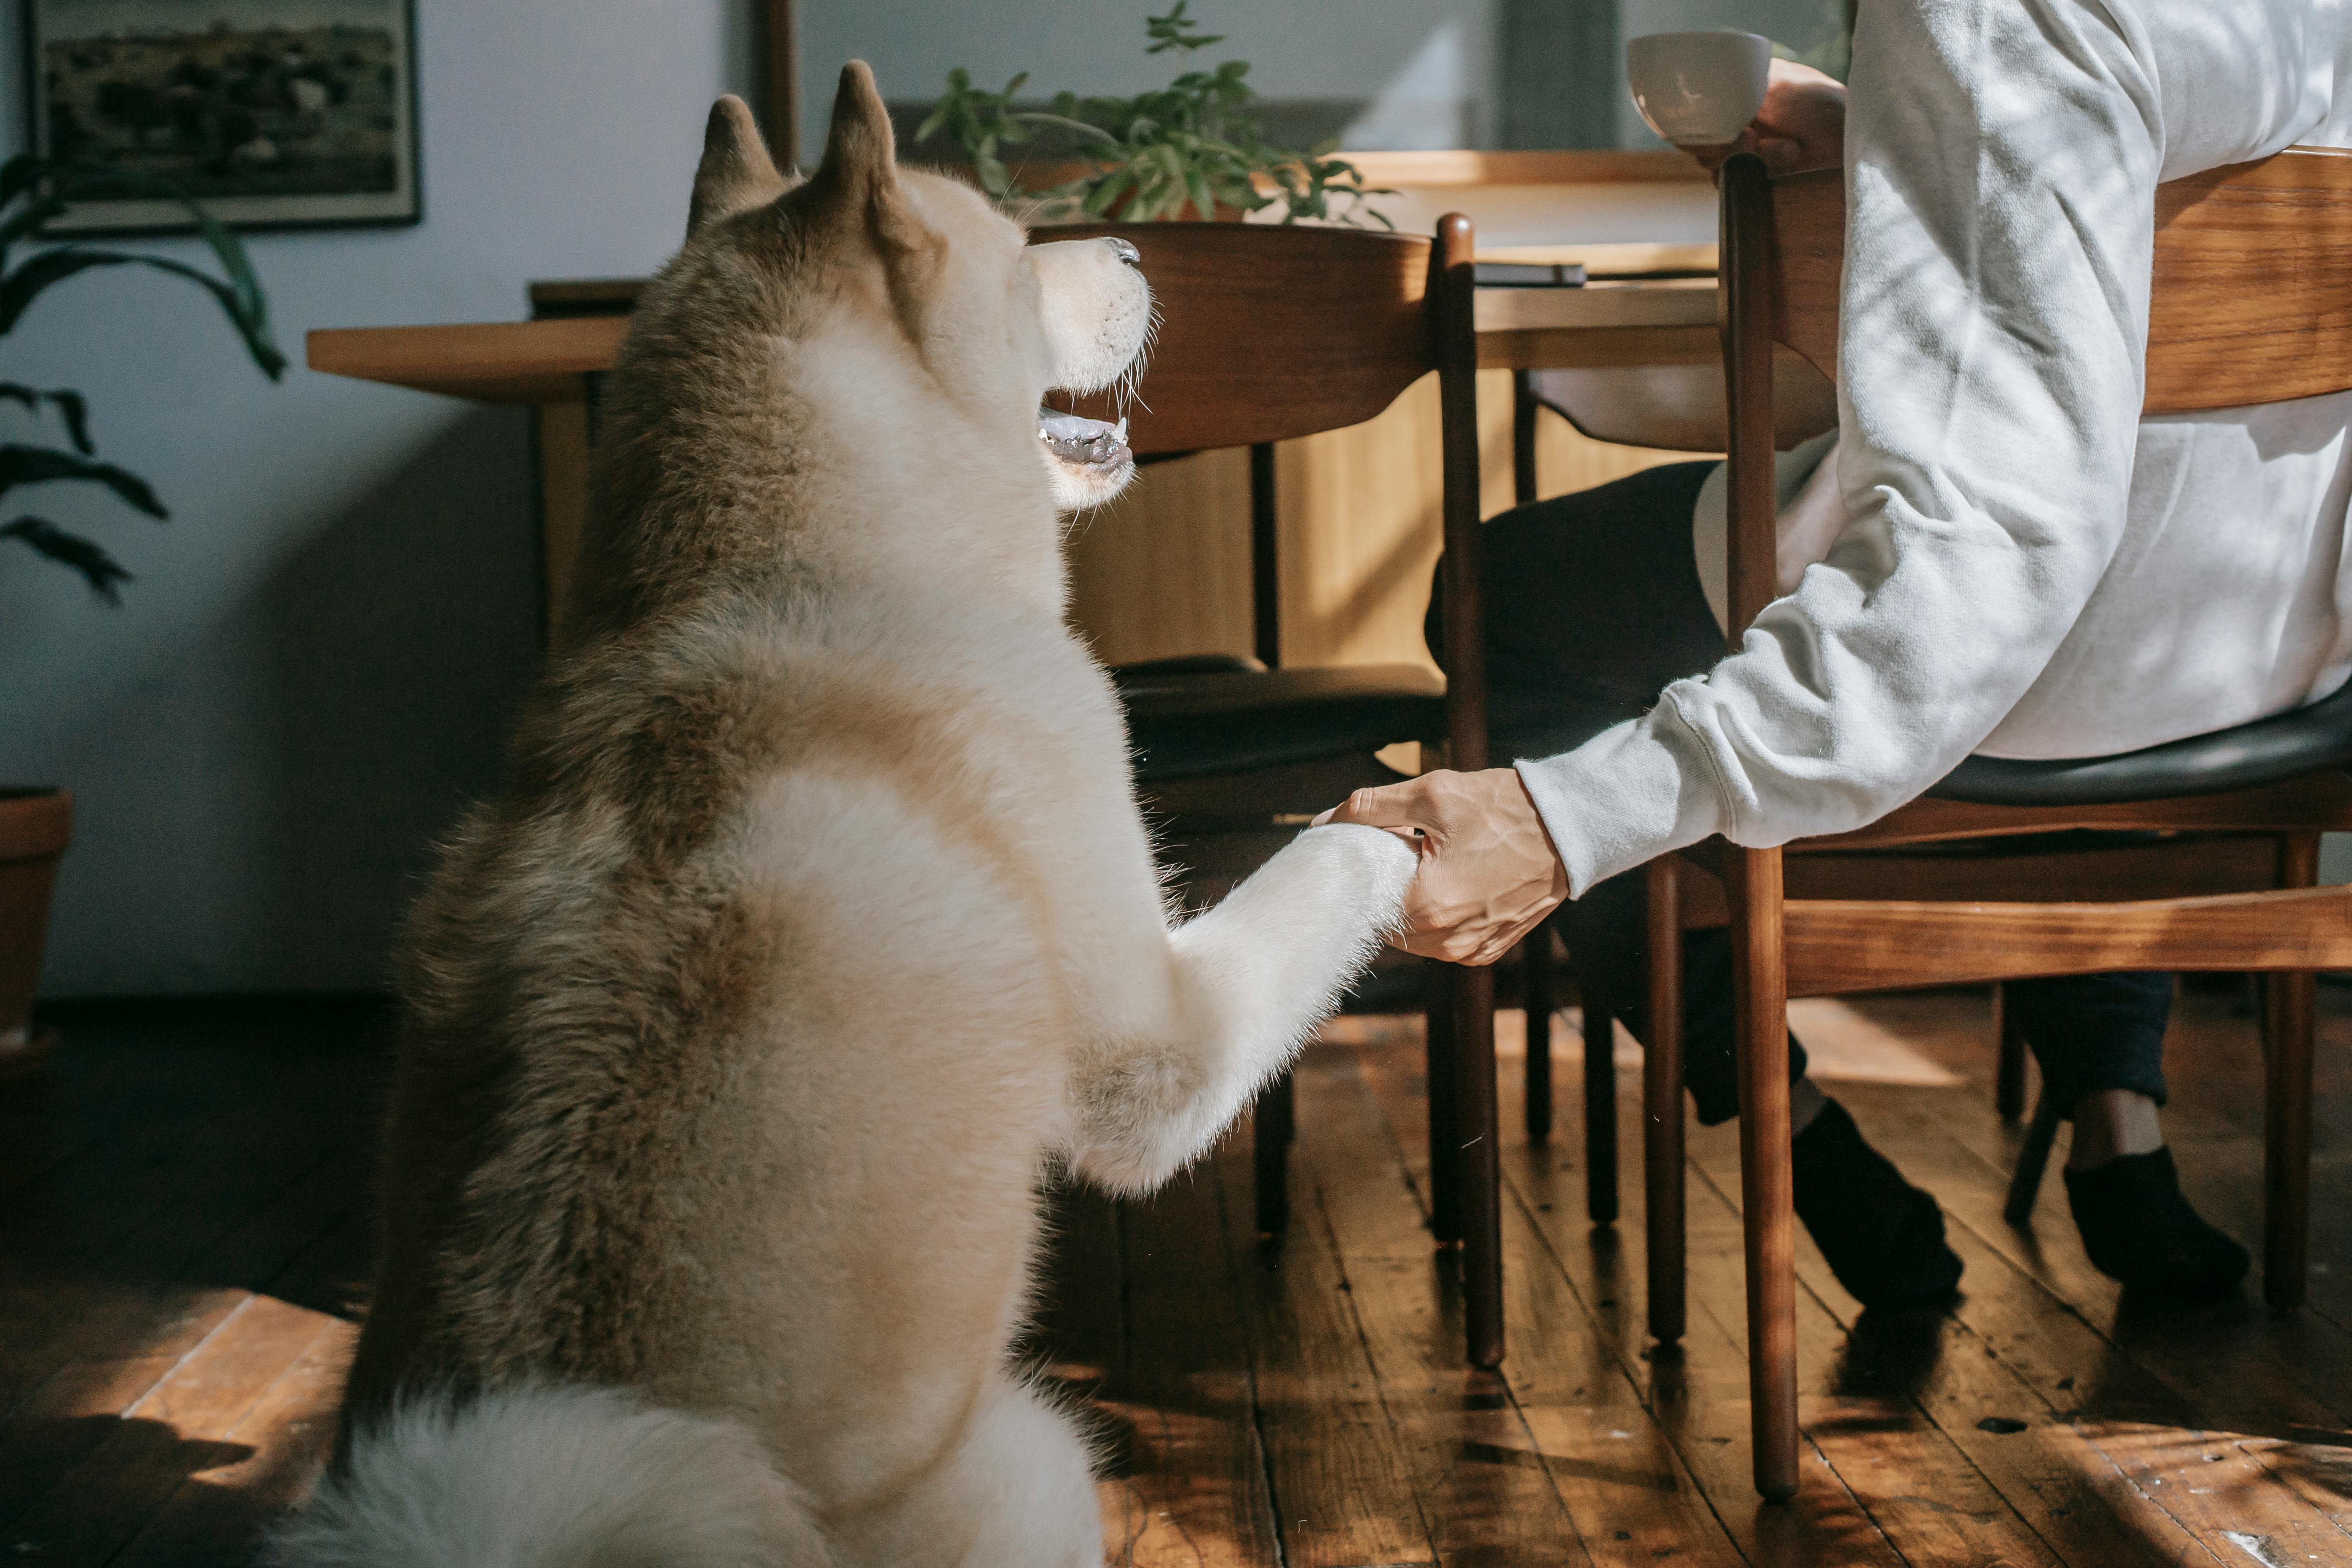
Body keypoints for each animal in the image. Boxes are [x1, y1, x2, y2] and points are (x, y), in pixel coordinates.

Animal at [275, 61, 1411, 1568]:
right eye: (1016, 248)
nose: (1133, 246)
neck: (778, 583)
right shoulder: (1157, 1046)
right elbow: (1322, 859)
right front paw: (1434, 813)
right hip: (1047, 1451)